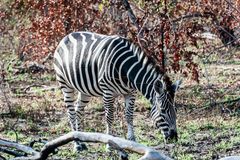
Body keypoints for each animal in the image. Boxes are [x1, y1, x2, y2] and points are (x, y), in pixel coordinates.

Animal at [53, 31, 181, 151]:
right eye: (163, 111)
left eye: (175, 110)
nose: (174, 138)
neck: (126, 69)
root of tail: (67, 36)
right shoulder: (108, 92)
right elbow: (109, 117)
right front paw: (109, 144)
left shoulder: (131, 92)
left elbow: (129, 115)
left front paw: (132, 140)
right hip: (65, 85)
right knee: (71, 112)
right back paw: (77, 144)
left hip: (85, 90)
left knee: (78, 110)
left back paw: (80, 140)